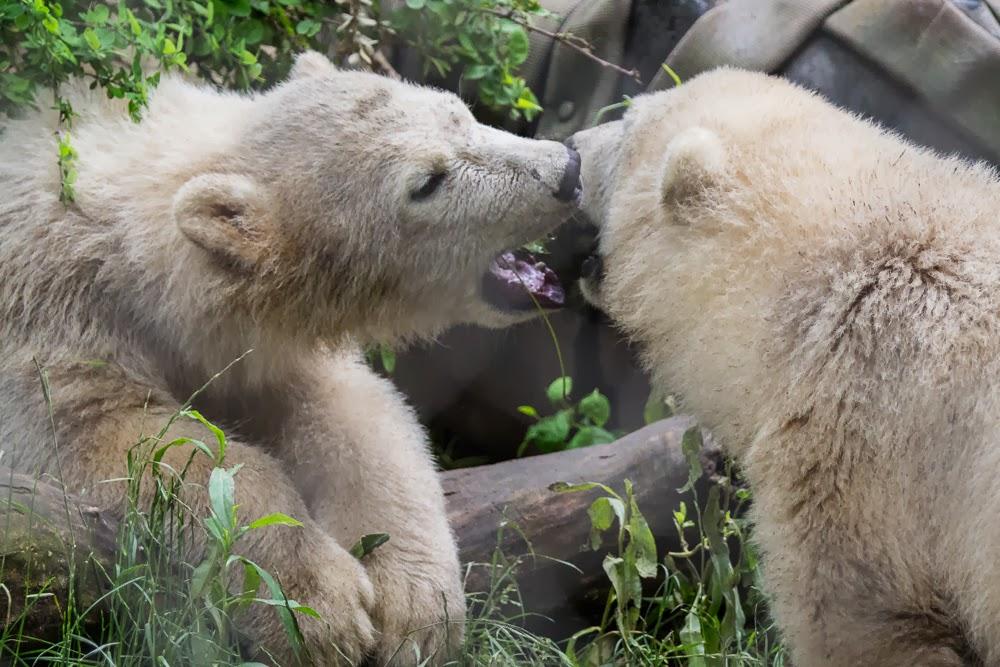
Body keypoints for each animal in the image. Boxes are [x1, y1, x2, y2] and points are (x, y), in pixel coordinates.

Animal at [0, 51, 581, 665]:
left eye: (462, 114)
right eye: (427, 182)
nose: (568, 170)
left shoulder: (271, 349)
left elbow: (353, 414)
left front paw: (415, 603)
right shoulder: (53, 315)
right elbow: (116, 437)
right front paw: (312, 605)